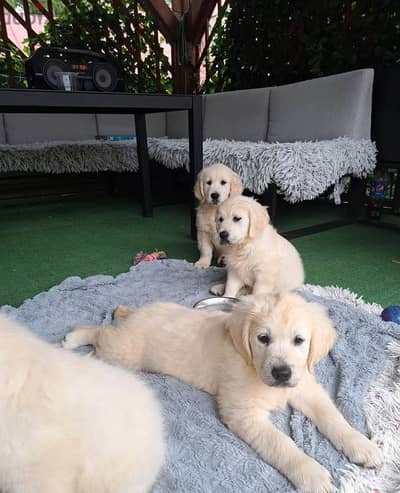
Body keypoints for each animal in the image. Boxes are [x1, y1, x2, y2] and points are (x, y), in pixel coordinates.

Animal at [64, 294, 382, 492]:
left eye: (299, 340)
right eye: (263, 339)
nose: (281, 373)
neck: (253, 366)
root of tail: (138, 312)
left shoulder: (306, 387)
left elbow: (333, 417)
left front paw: (362, 445)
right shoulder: (242, 412)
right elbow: (281, 443)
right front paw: (311, 473)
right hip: (124, 353)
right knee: (102, 334)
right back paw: (75, 338)